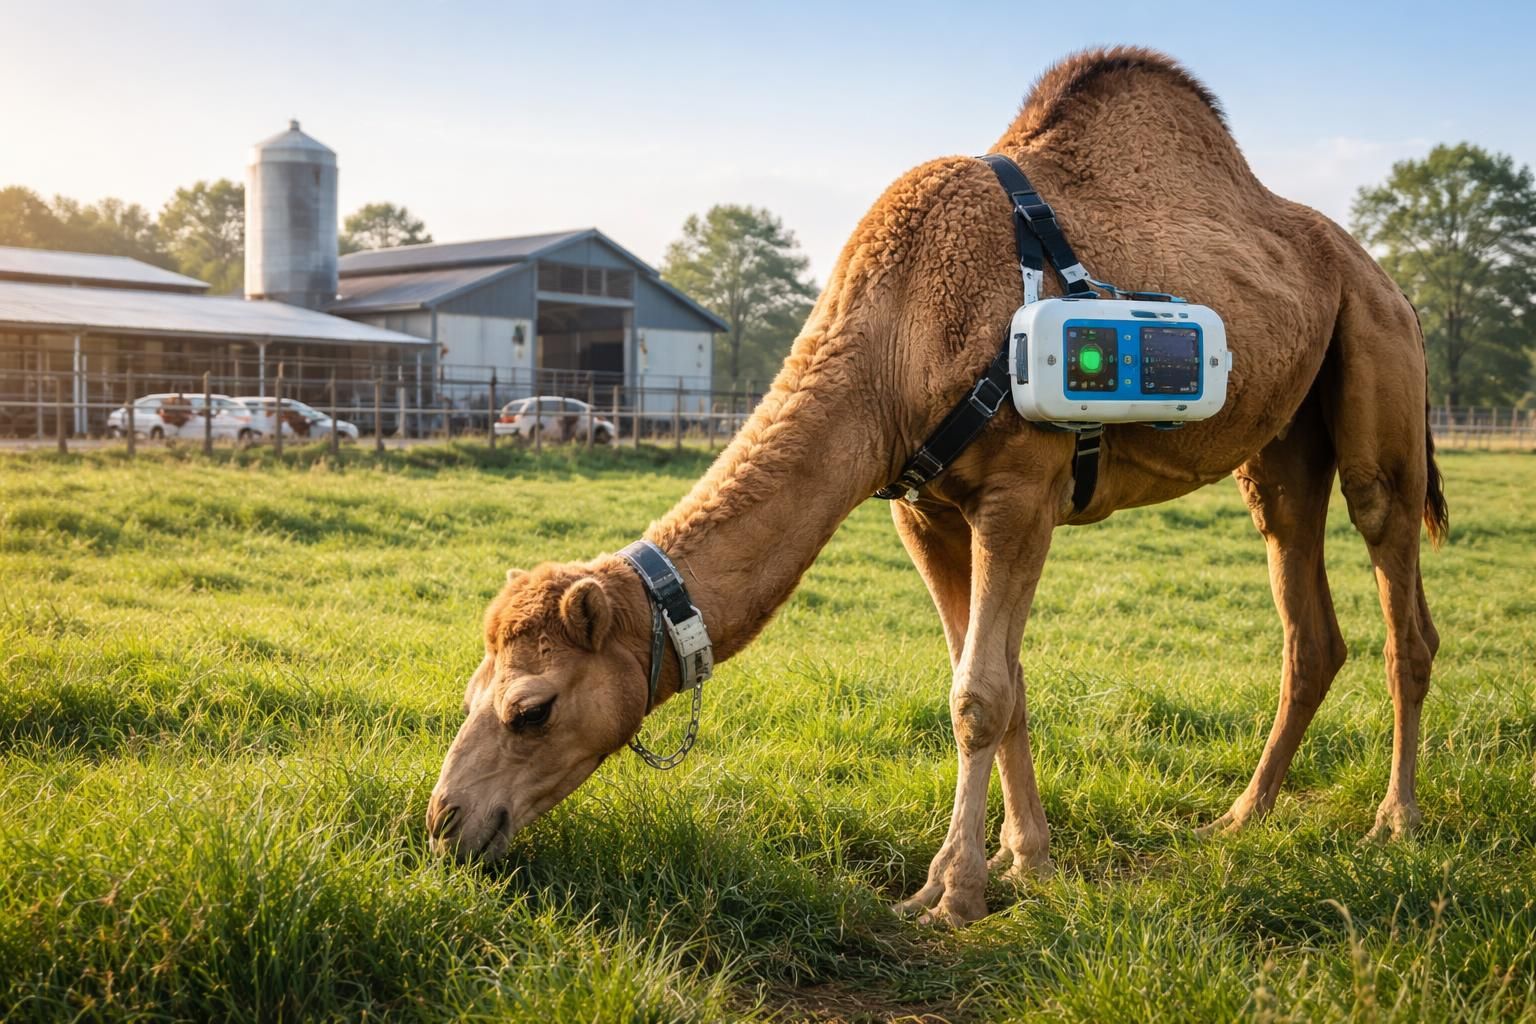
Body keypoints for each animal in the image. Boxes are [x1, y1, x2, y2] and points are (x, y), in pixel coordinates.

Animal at [428, 47, 1448, 927]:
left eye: (530, 709)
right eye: (472, 691)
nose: (444, 825)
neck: (892, 344)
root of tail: (1387, 278)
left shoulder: (1022, 490)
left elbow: (977, 695)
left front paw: (951, 892)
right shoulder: (924, 507)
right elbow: (1003, 680)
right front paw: (1028, 864)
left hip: (1379, 366)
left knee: (1400, 588)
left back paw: (1395, 822)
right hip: (1280, 447)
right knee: (1307, 616)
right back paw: (1243, 815)